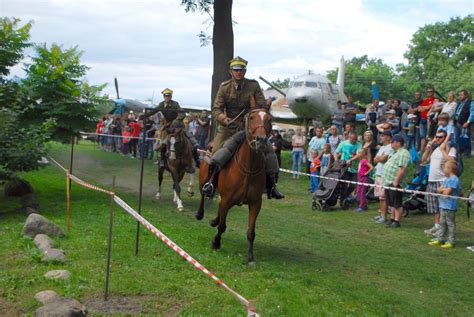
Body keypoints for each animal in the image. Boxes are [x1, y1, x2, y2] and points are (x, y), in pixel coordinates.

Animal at [195, 108, 270, 262]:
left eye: (269, 119)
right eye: (252, 118)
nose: (261, 140)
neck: (248, 168)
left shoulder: (255, 203)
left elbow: (251, 232)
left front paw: (250, 256)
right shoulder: (227, 199)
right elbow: (222, 226)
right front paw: (216, 243)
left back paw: (214, 220)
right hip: (204, 181)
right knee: (203, 194)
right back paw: (200, 213)